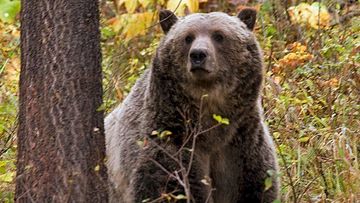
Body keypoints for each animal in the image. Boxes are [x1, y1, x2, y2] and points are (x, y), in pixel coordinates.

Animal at [105, 8, 280, 202]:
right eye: (188, 37)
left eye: (219, 35)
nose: (198, 54)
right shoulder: (169, 139)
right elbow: (166, 185)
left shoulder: (242, 147)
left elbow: (255, 187)